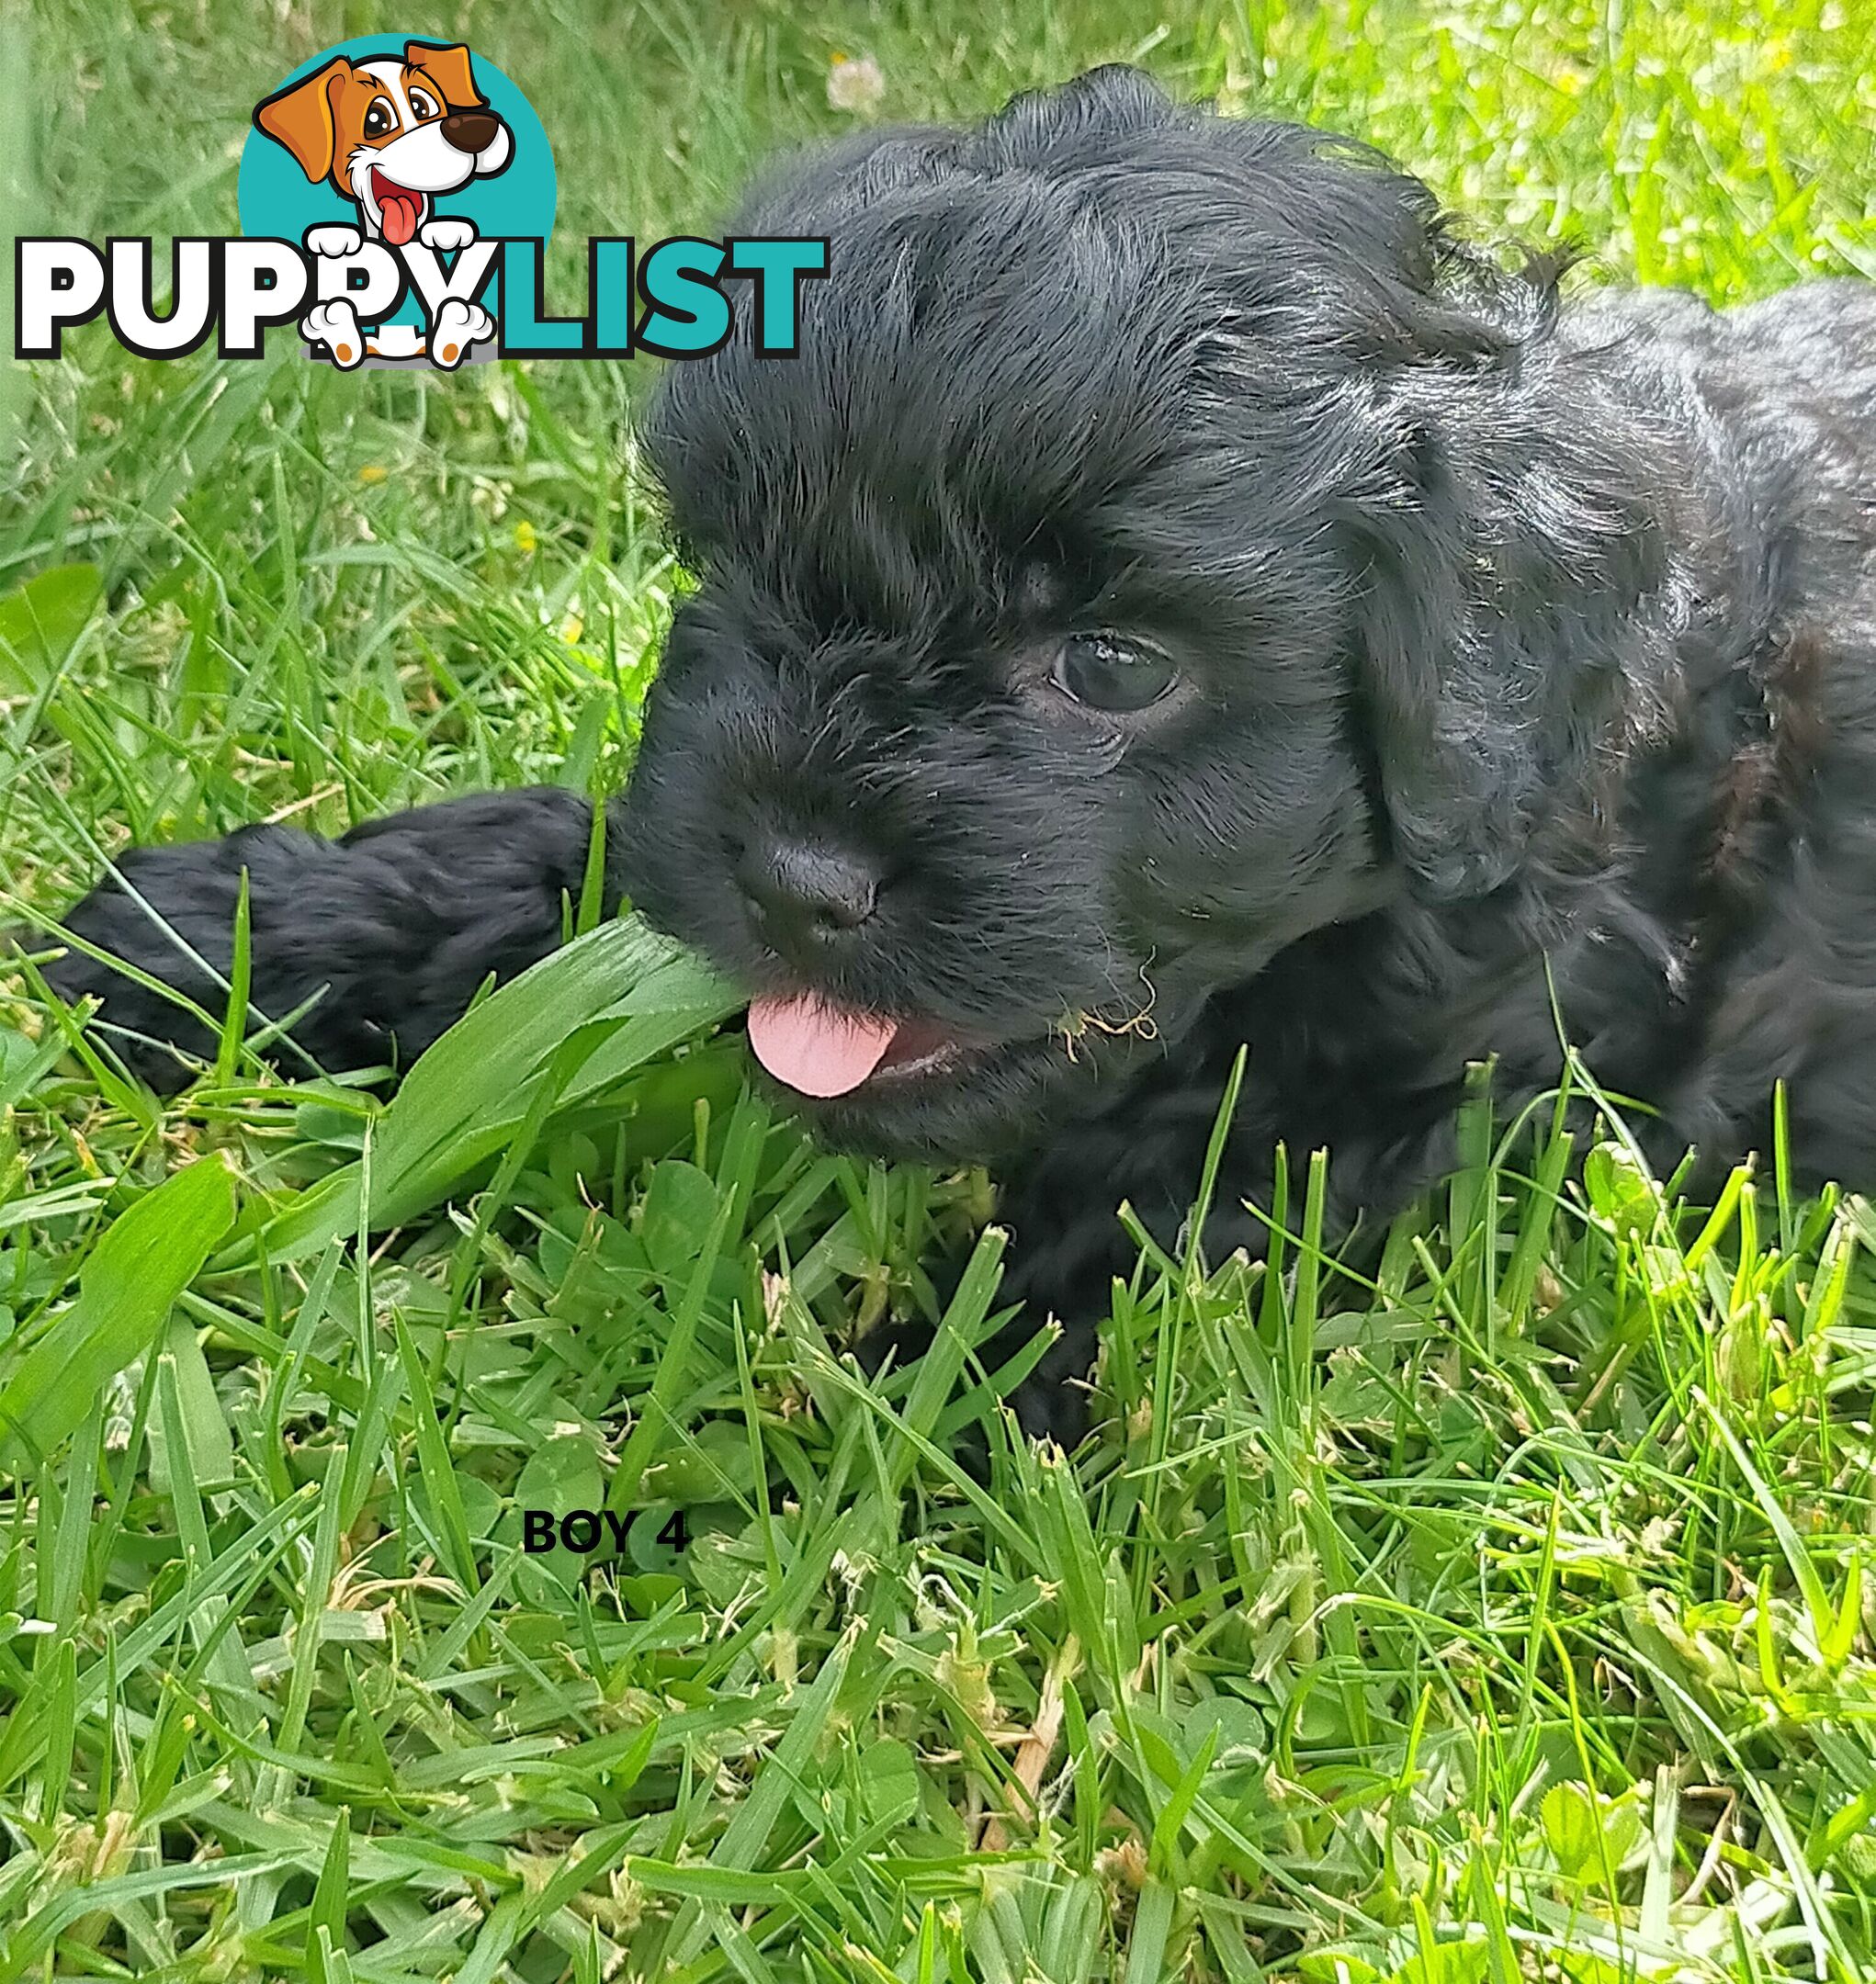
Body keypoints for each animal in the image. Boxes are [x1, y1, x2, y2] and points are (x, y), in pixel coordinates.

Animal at [25, 73, 1873, 1444]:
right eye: (741, 576)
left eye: (1115, 665)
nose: (793, 881)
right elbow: (572, 860)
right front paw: (233, 933)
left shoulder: (1493, 1067)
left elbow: (1171, 1213)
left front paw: (867, 1450)